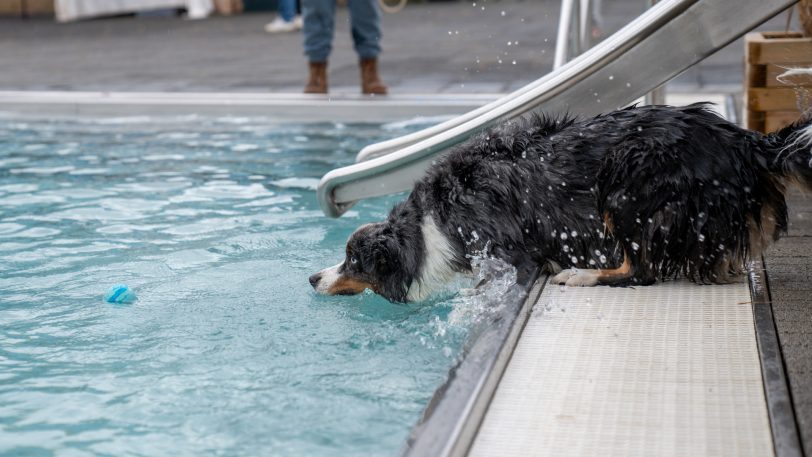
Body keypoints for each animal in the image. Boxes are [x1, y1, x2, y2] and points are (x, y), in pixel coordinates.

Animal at [306, 104, 812, 302]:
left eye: (354, 261)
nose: (313, 277)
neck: (429, 226)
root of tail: (745, 140)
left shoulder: (505, 251)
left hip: (627, 181)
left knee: (641, 271)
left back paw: (581, 274)